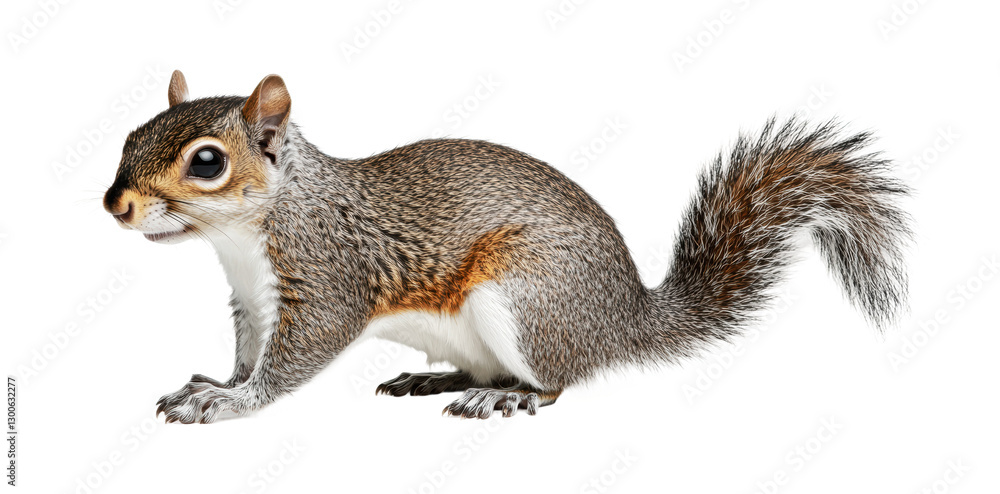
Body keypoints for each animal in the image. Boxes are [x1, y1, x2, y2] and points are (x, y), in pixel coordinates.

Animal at [103, 71, 911, 423]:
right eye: (131, 136)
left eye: (207, 163)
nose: (116, 204)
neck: (245, 236)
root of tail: (620, 320)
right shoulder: (250, 300)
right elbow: (247, 350)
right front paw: (215, 383)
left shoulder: (329, 277)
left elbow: (291, 359)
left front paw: (233, 402)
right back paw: (435, 380)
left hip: (523, 296)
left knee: (557, 381)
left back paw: (506, 395)